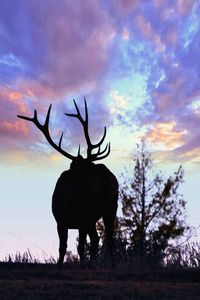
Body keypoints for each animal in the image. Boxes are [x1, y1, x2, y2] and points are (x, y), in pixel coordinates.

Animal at [17, 99, 119, 268]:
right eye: (89, 165)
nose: (102, 169)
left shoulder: (72, 219)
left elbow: (76, 247)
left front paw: (77, 266)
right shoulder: (65, 221)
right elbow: (63, 247)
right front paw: (61, 266)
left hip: (98, 211)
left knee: (100, 239)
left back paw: (94, 265)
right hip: (106, 209)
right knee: (103, 238)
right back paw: (108, 265)